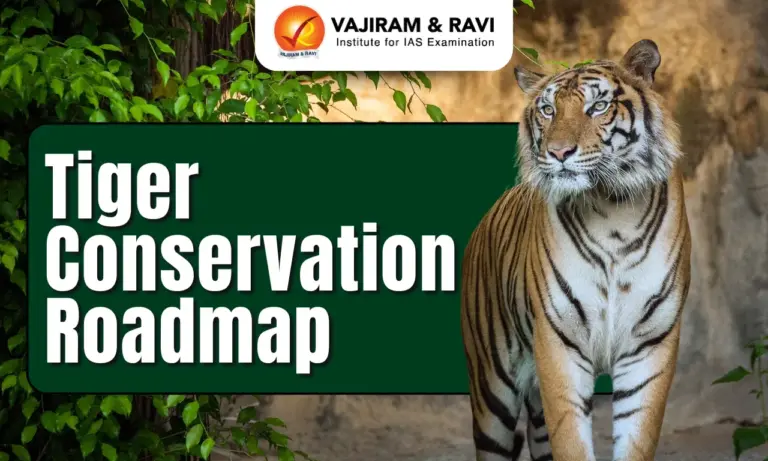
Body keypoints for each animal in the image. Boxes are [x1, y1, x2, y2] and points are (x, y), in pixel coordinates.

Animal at [460, 39, 691, 461]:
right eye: (548, 110)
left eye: (597, 107)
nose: (558, 152)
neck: (613, 211)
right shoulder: (559, 343)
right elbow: (571, 440)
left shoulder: (650, 344)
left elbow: (637, 438)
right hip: (492, 387)